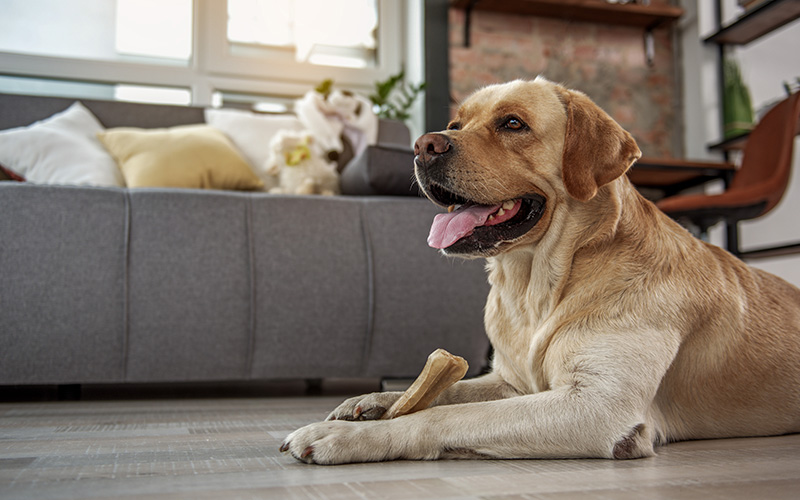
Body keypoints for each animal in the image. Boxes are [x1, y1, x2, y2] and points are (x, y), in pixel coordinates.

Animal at [282, 77, 800, 464]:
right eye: (455, 124)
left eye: (513, 123)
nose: (423, 145)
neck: (538, 285)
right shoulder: (509, 381)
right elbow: (445, 391)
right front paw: (374, 402)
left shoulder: (597, 406)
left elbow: (444, 416)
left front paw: (348, 437)